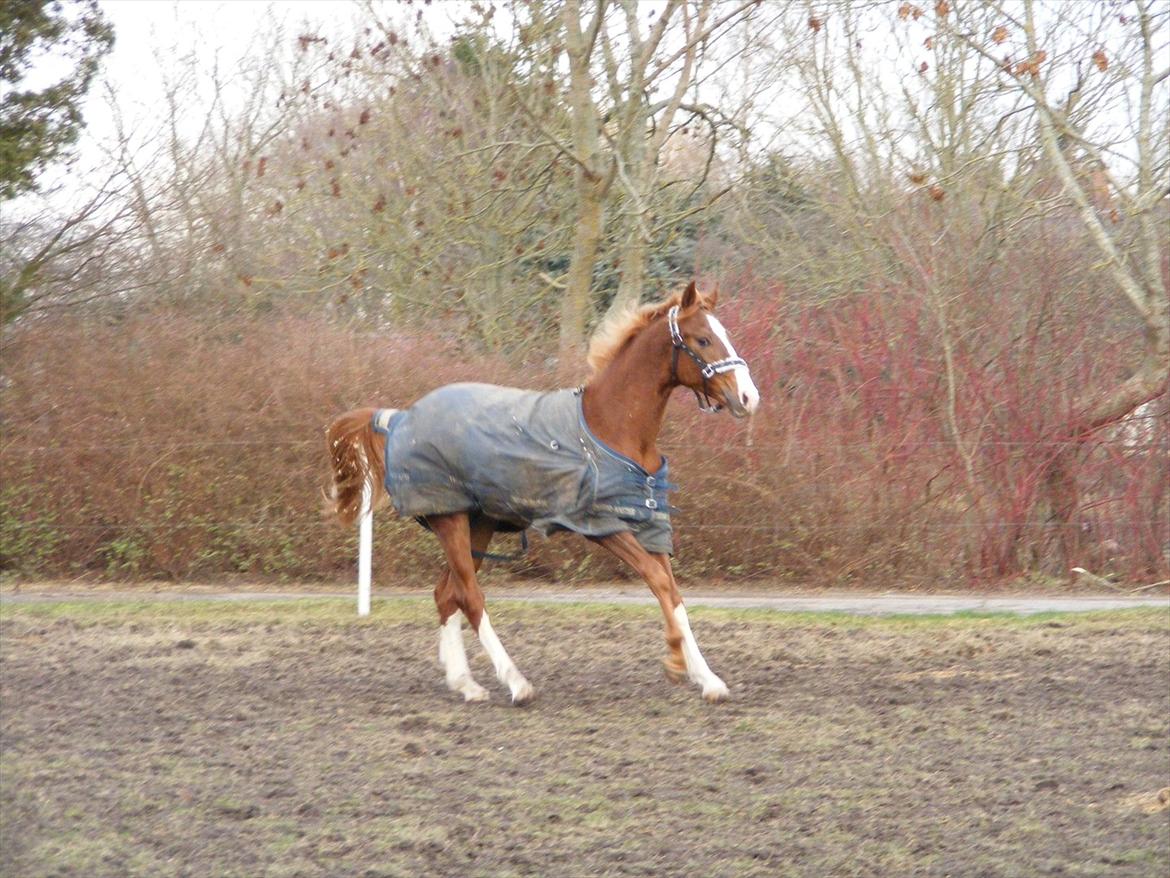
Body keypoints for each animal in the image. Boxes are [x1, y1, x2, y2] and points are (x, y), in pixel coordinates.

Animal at [325, 283, 758, 707]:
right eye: (703, 339)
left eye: (725, 334)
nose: (749, 397)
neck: (613, 427)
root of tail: (400, 418)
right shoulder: (602, 525)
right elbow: (658, 582)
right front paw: (676, 661)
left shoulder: (650, 525)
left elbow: (672, 591)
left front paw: (706, 678)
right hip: (449, 519)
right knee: (470, 596)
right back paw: (515, 683)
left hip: (477, 525)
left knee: (446, 594)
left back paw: (466, 684)